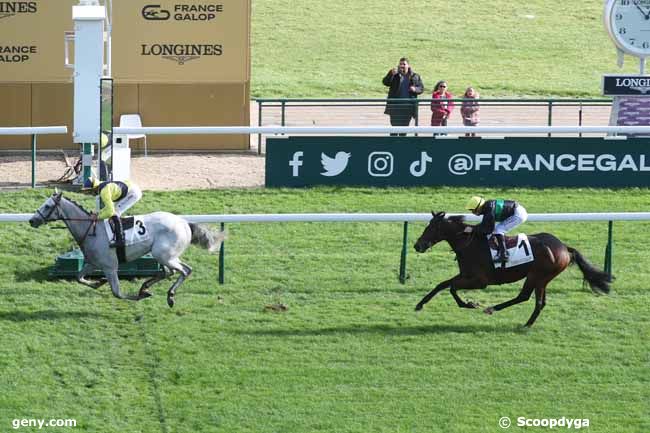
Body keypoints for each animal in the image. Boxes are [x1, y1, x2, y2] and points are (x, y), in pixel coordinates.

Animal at [29, 191, 224, 306]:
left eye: (47, 206)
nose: (32, 220)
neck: (91, 230)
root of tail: (184, 223)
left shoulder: (110, 266)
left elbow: (117, 293)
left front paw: (140, 296)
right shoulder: (93, 263)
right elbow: (78, 277)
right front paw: (98, 282)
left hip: (163, 255)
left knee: (183, 271)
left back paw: (169, 295)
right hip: (165, 255)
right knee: (172, 271)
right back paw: (146, 286)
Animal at [412, 211, 612, 326]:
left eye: (432, 227)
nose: (417, 245)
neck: (469, 243)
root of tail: (564, 247)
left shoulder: (480, 281)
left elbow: (452, 288)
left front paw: (470, 304)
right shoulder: (466, 275)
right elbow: (442, 284)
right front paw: (420, 304)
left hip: (537, 275)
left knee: (526, 297)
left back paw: (496, 311)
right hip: (543, 278)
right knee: (538, 301)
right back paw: (526, 323)